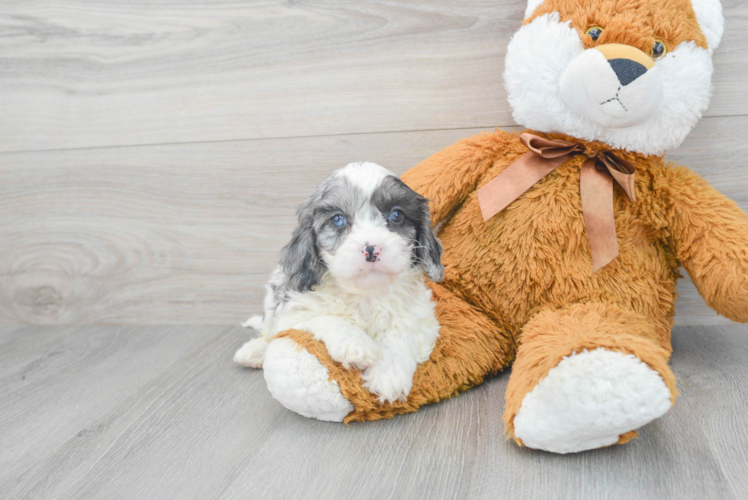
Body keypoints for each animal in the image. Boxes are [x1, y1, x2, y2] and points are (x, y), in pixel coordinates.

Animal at [235, 162, 444, 404]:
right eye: (337, 219)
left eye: (396, 215)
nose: (371, 249)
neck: (364, 294)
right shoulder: (293, 312)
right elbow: (324, 317)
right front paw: (355, 344)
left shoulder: (422, 316)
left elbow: (402, 329)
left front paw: (389, 374)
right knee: (267, 333)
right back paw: (255, 351)